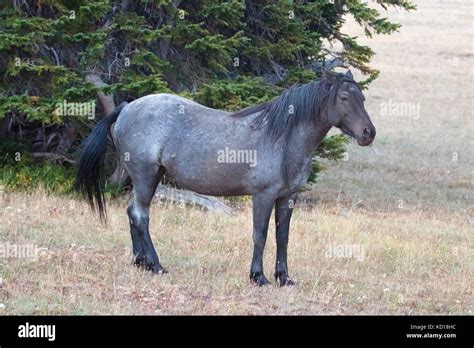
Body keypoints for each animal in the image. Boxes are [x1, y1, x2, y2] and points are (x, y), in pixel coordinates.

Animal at [77, 70, 374, 286]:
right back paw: (156, 264)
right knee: (141, 216)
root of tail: (126, 108)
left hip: (148, 178)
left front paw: (284, 278)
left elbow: (283, 237)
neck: (283, 138)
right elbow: (260, 235)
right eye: (344, 98)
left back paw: (140, 262)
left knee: (132, 212)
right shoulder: (263, 196)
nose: (368, 133)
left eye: (362, 98)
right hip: (145, 175)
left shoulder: (287, 198)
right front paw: (258, 277)